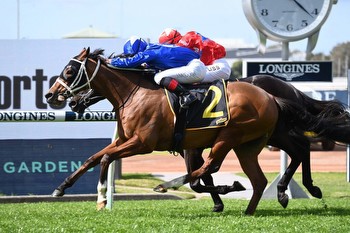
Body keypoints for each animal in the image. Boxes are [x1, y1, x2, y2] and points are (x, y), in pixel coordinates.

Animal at [45, 47, 346, 215]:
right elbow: (93, 158)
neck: (136, 92)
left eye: (70, 71)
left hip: (232, 136)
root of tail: (273, 96)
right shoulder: (128, 140)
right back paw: (264, 201)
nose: (52, 96)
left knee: (217, 165)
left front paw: (100, 199)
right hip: (253, 142)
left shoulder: (143, 143)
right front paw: (60, 188)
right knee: (268, 172)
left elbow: (106, 159)